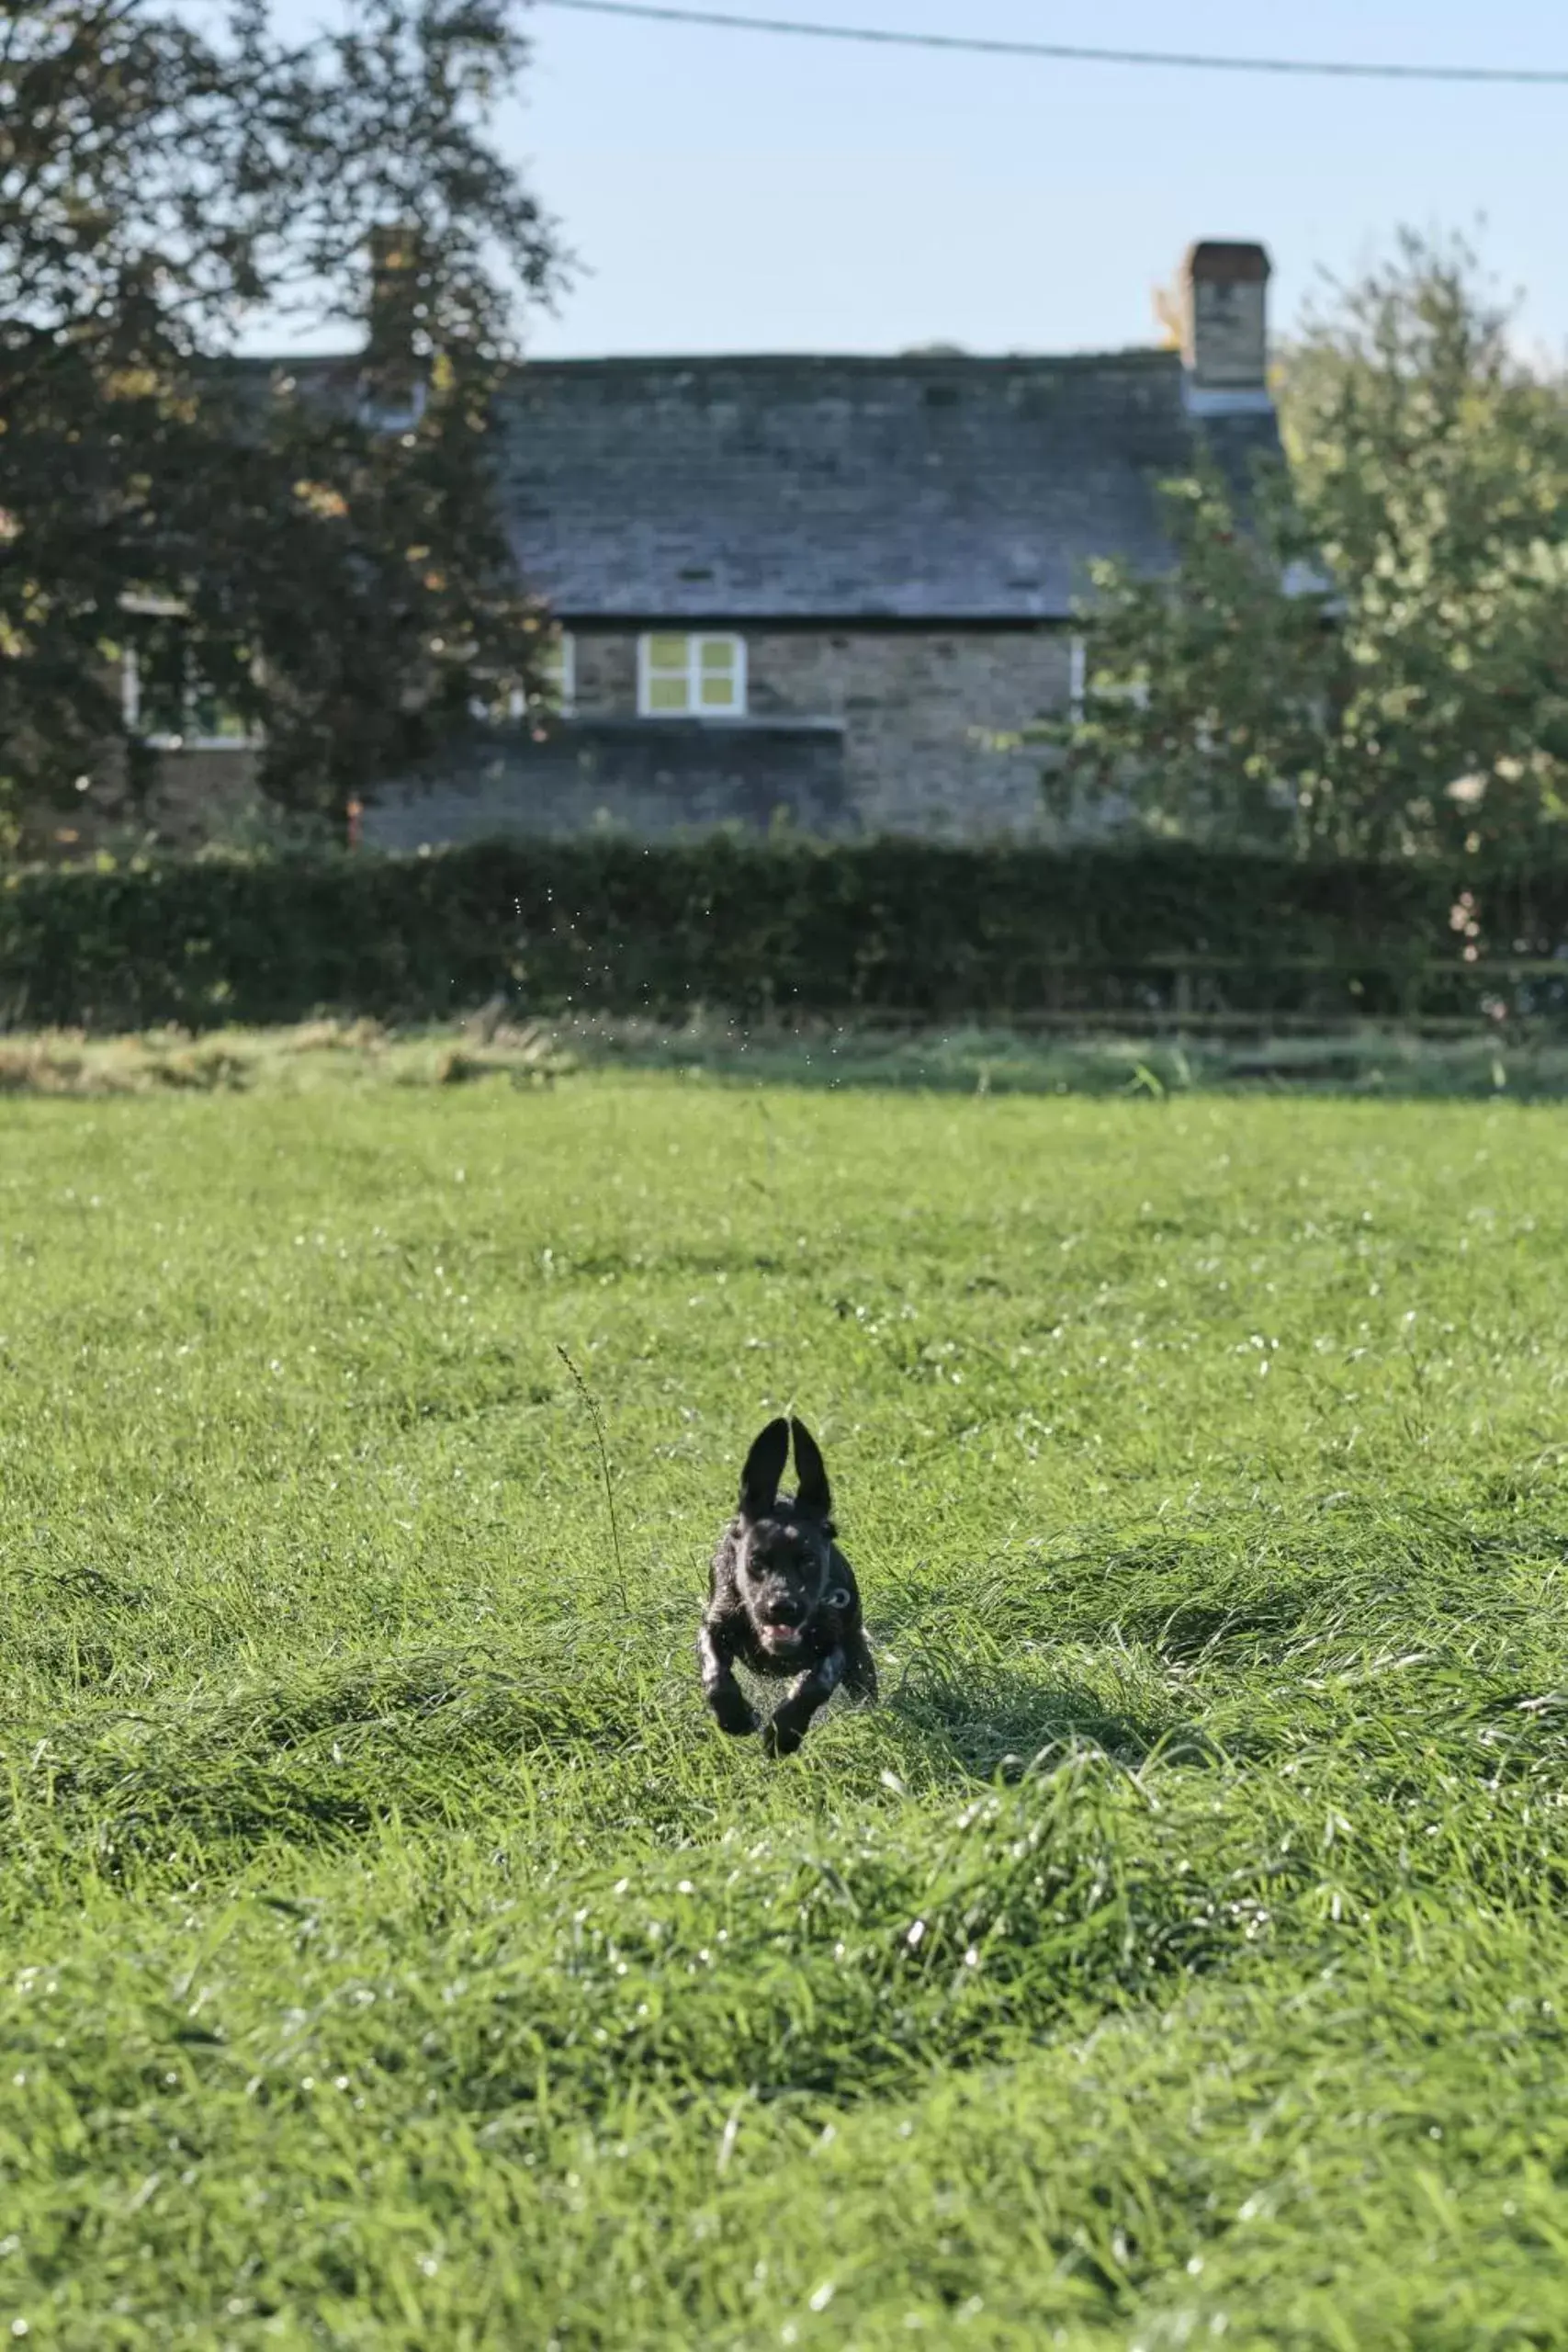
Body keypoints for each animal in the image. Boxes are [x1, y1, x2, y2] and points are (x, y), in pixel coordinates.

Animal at [695, 1411, 879, 1749]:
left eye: (809, 1560)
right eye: (755, 1561)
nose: (781, 1607)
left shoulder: (834, 1642)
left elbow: (814, 1685)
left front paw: (784, 1734)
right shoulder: (713, 1625)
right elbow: (715, 1675)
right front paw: (736, 1718)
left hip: (858, 1654)